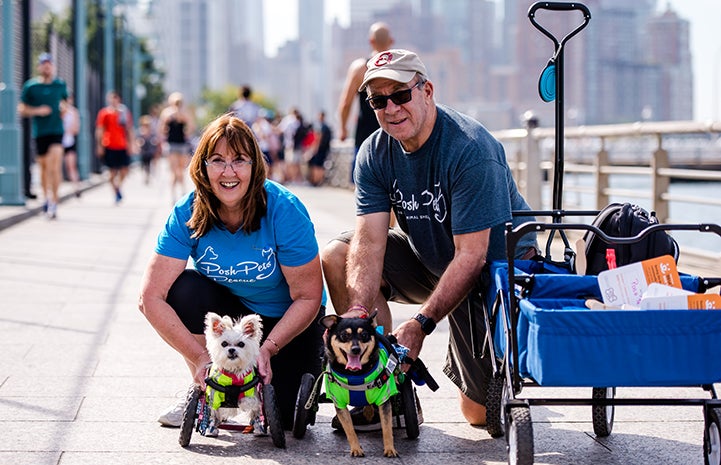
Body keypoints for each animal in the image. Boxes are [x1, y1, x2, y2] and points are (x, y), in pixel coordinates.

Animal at [320, 312, 400, 456]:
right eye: (344, 335)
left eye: (364, 335)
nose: (356, 349)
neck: (355, 375)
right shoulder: (339, 403)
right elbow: (349, 429)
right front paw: (356, 449)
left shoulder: (384, 399)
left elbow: (386, 427)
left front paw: (390, 449)